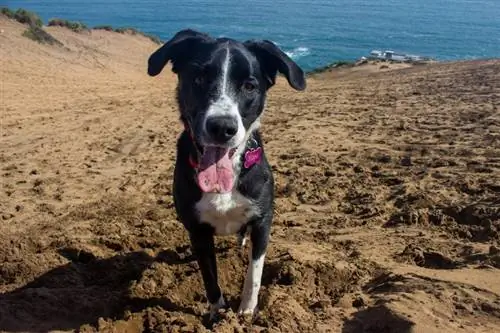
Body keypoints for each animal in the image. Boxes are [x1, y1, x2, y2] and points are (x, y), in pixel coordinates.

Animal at [146, 28, 306, 320]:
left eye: (250, 86)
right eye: (198, 78)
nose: (222, 127)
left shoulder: (263, 220)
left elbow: (255, 272)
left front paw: (246, 312)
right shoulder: (198, 230)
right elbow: (209, 276)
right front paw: (218, 314)